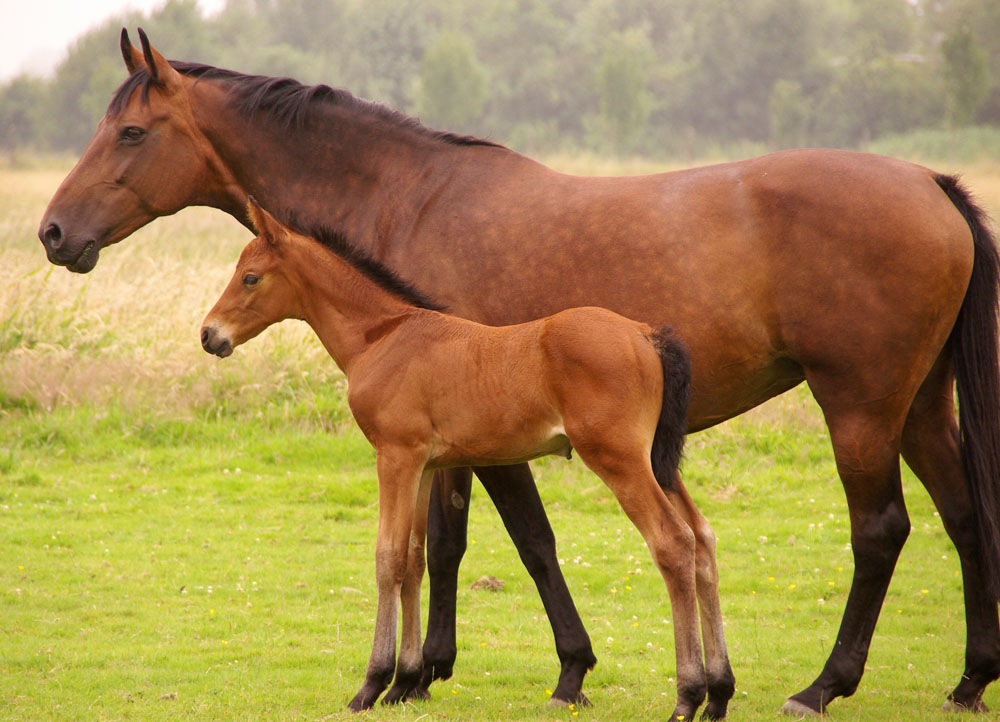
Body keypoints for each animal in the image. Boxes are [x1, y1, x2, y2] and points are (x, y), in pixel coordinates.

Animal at [201, 198, 728, 720]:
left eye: (251, 277)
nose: (209, 335)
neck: (382, 337)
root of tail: (646, 334)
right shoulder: (422, 466)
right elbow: (413, 559)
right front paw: (404, 683)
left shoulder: (394, 457)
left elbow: (387, 558)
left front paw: (371, 685)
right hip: (658, 462)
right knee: (702, 539)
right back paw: (719, 692)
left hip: (619, 459)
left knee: (672, 542)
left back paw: (687, 697)